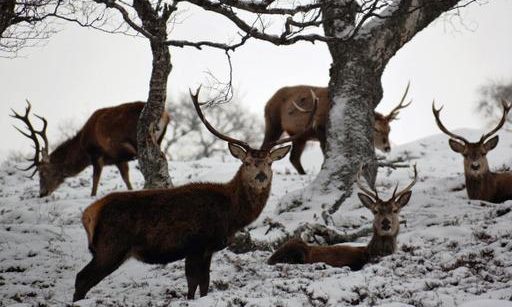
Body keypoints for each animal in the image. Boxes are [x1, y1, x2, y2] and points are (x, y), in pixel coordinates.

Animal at [10, 101, 170, 197]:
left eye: (42, 172)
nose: (42, 193)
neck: (82, 148)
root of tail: (165, 115)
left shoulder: (96, 154)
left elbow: (94, 183)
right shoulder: (118, 158)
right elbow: (126, 180)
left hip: (140, 140)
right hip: (158, 140)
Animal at [71, 87, 318, 304]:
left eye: (269, 163)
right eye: (247, 162)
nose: (261, 176)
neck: (231, 214)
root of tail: (89, 214)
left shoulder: (207, 249)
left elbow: (204, 283)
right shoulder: (196, 244)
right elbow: (193, 283)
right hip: (111, 246)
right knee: (81, 278)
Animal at [260, 83, 412, 174]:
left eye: (389, 129)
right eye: (376, 129)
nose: (387, 147)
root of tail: (267, 102)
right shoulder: (320, 130)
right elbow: (325, 154)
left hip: (300, 136)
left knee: (294, 158)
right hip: (273, 124)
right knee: (266, 146)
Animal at [268, 166, 416, 270]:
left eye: (395, 210)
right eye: (375, 211)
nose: (386, 223)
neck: (369, 252)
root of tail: (270, 259)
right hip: (297, 249)